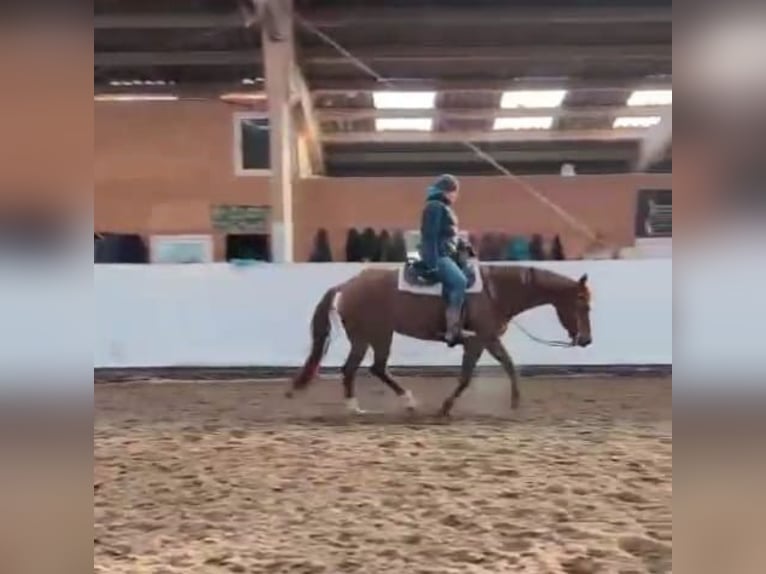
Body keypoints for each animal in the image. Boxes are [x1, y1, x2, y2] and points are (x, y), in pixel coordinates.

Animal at [288, 262, 592, 418]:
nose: (587, 340)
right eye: (583, 305)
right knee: (358, 368)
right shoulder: (477, 341)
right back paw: (359, 407)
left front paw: (516, 402)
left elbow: (509, 365)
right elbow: (466, 377)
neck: (495, 292)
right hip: (372, 335)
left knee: (373, 368)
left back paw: (401, 403)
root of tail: (346, 285)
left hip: (374, 336)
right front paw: (445, 407)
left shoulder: (489, 339)